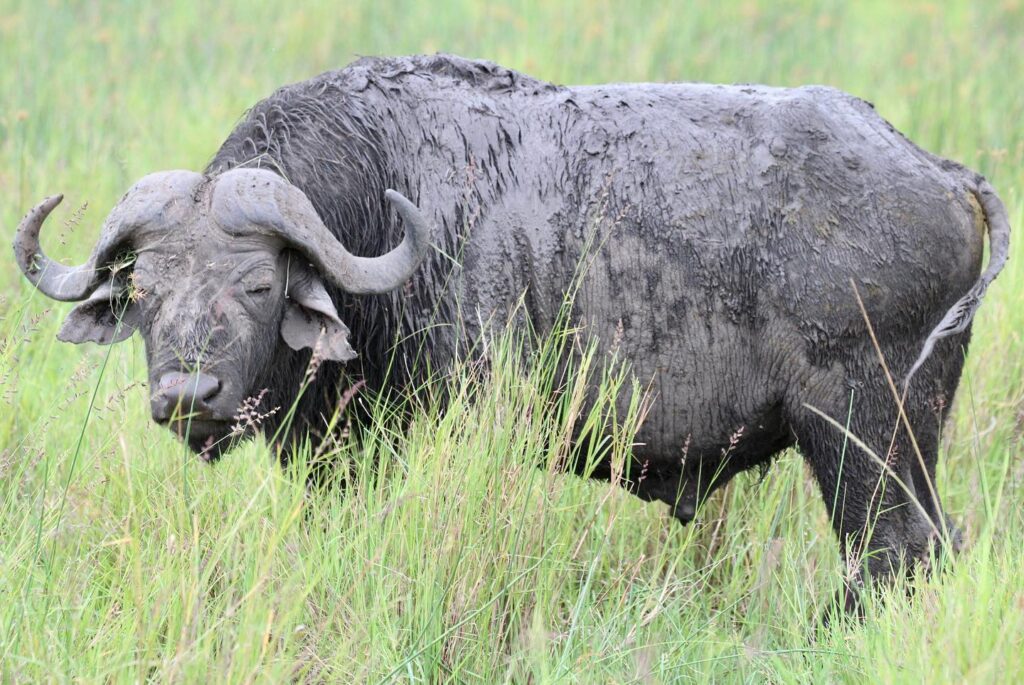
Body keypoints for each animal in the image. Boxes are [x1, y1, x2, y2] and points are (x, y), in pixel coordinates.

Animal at [14, 56, 1007, 593]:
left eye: (259, 283)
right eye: (144, 288)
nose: (189, 394)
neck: (379, 207)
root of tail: (942, 171)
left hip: (862, 438)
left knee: (895, 556)